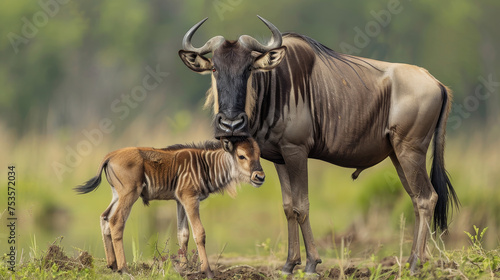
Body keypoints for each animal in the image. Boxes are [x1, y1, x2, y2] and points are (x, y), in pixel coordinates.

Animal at [73, 137, 266, 278]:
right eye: (241, 155)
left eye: (258, 154)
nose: (260, 176)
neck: (206, 165)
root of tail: (110, 156)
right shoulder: (190, 199)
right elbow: (199, 233)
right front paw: (207, 271)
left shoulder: (180, 201)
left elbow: (183, 234)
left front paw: (184, 268)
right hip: (129, 194)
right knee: (116, 221)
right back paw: (124, 268)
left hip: (117, 195)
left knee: (104, 217)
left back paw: (112, 265)